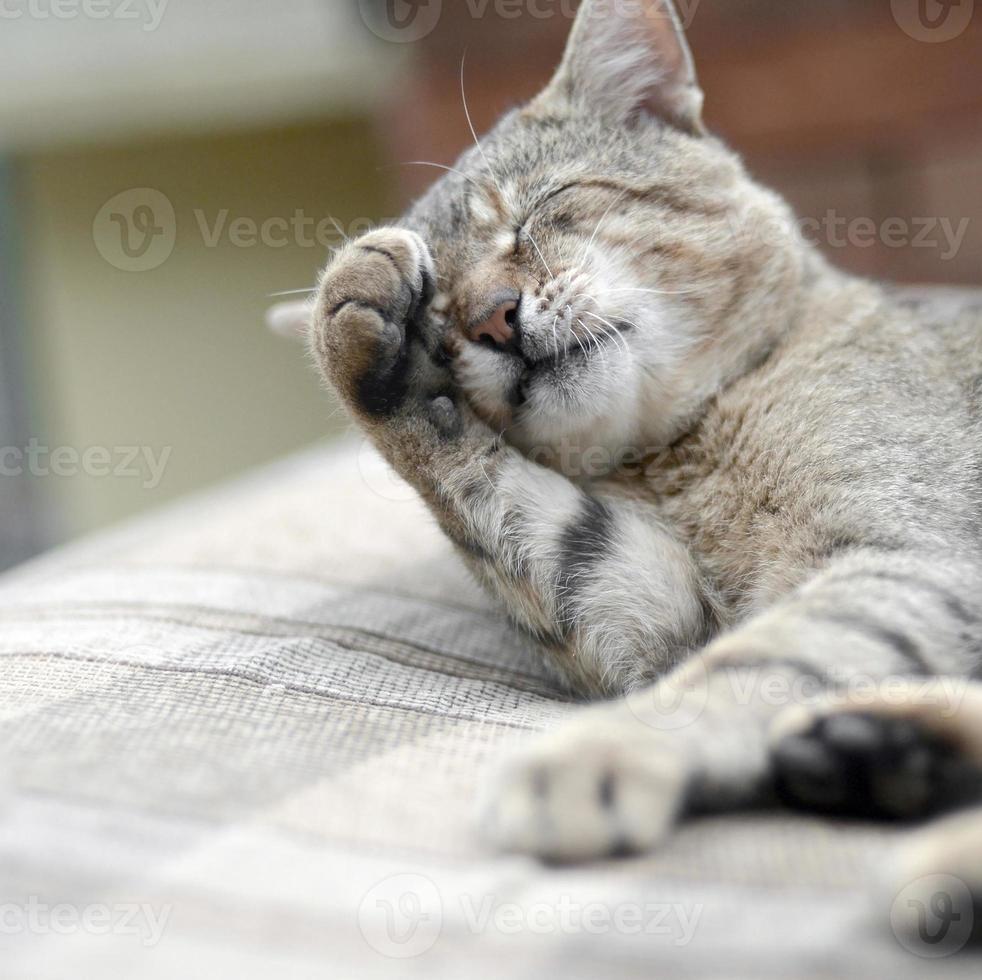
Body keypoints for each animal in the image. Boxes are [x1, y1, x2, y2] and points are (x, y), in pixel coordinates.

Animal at [308, 0, 982, 928]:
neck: (689, 451)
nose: (489, 318)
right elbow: (495, 499)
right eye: (439, 315)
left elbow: (761, 658)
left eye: (538, 209)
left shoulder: (915, 554)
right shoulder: (650, 606)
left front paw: (605, 749)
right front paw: (358, 333)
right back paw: (885, 751)